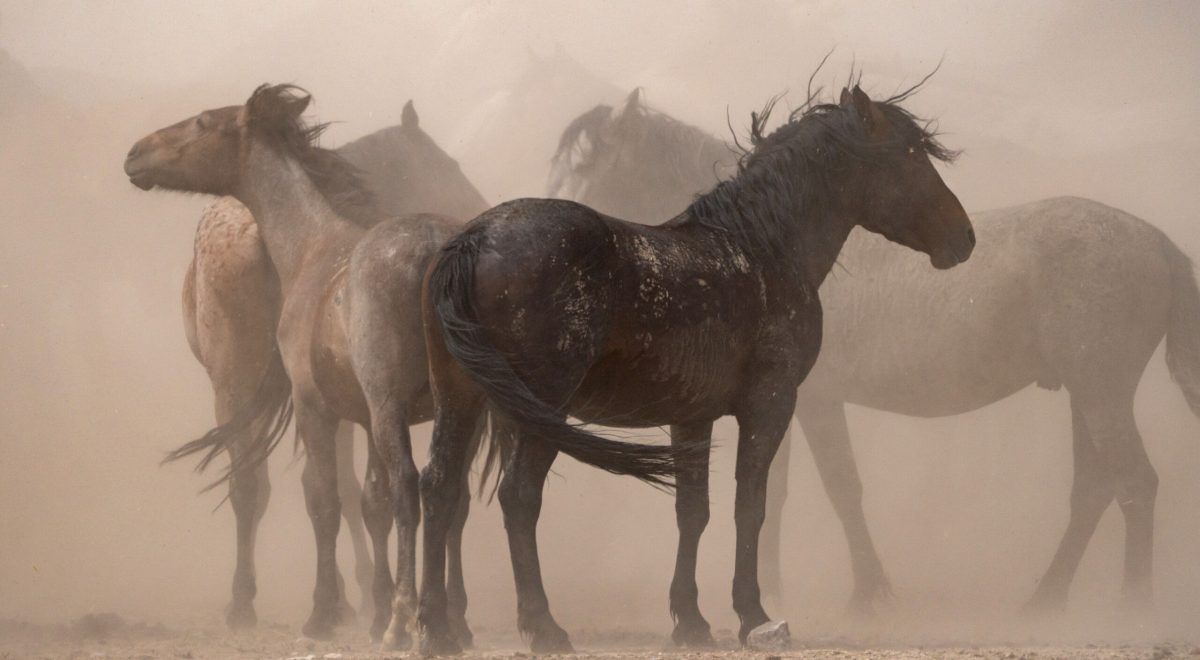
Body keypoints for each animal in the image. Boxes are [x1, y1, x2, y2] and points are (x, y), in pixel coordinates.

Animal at [124, 84, 492, 648]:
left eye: (203, 121)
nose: (134, 154)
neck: (312, 245)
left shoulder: (315, 405)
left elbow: (325, 500)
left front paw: (324, 612)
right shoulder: (357, 413)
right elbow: (368, 501)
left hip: (375, 408)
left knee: (405, 487)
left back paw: (400, 620)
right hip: (456, 409)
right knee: (442, 490)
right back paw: (436, 623)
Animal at [416, 83, 974, 654]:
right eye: (910, 157)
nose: (964, 237)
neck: (760, 247)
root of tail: (474, 239)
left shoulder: (691, 417)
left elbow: (694, 512)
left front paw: (690, 621)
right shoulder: (771, 404)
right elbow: (750, 506)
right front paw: (751, 614)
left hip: (460, 400)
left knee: (439, 488)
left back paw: (436, 628)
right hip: (540, 409)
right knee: (518, 497)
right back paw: (543, 626)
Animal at [550, 89, 1200, 619]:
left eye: (586, 166)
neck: (760, 247)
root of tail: (1159, 242)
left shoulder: (809, 401)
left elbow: (832, 488)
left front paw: (862, 591)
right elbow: (779, 492)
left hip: (1101, 391)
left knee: (1134, 483)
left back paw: (1133, 606)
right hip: (1086, 394)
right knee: (1094, 490)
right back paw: (1046, 599)